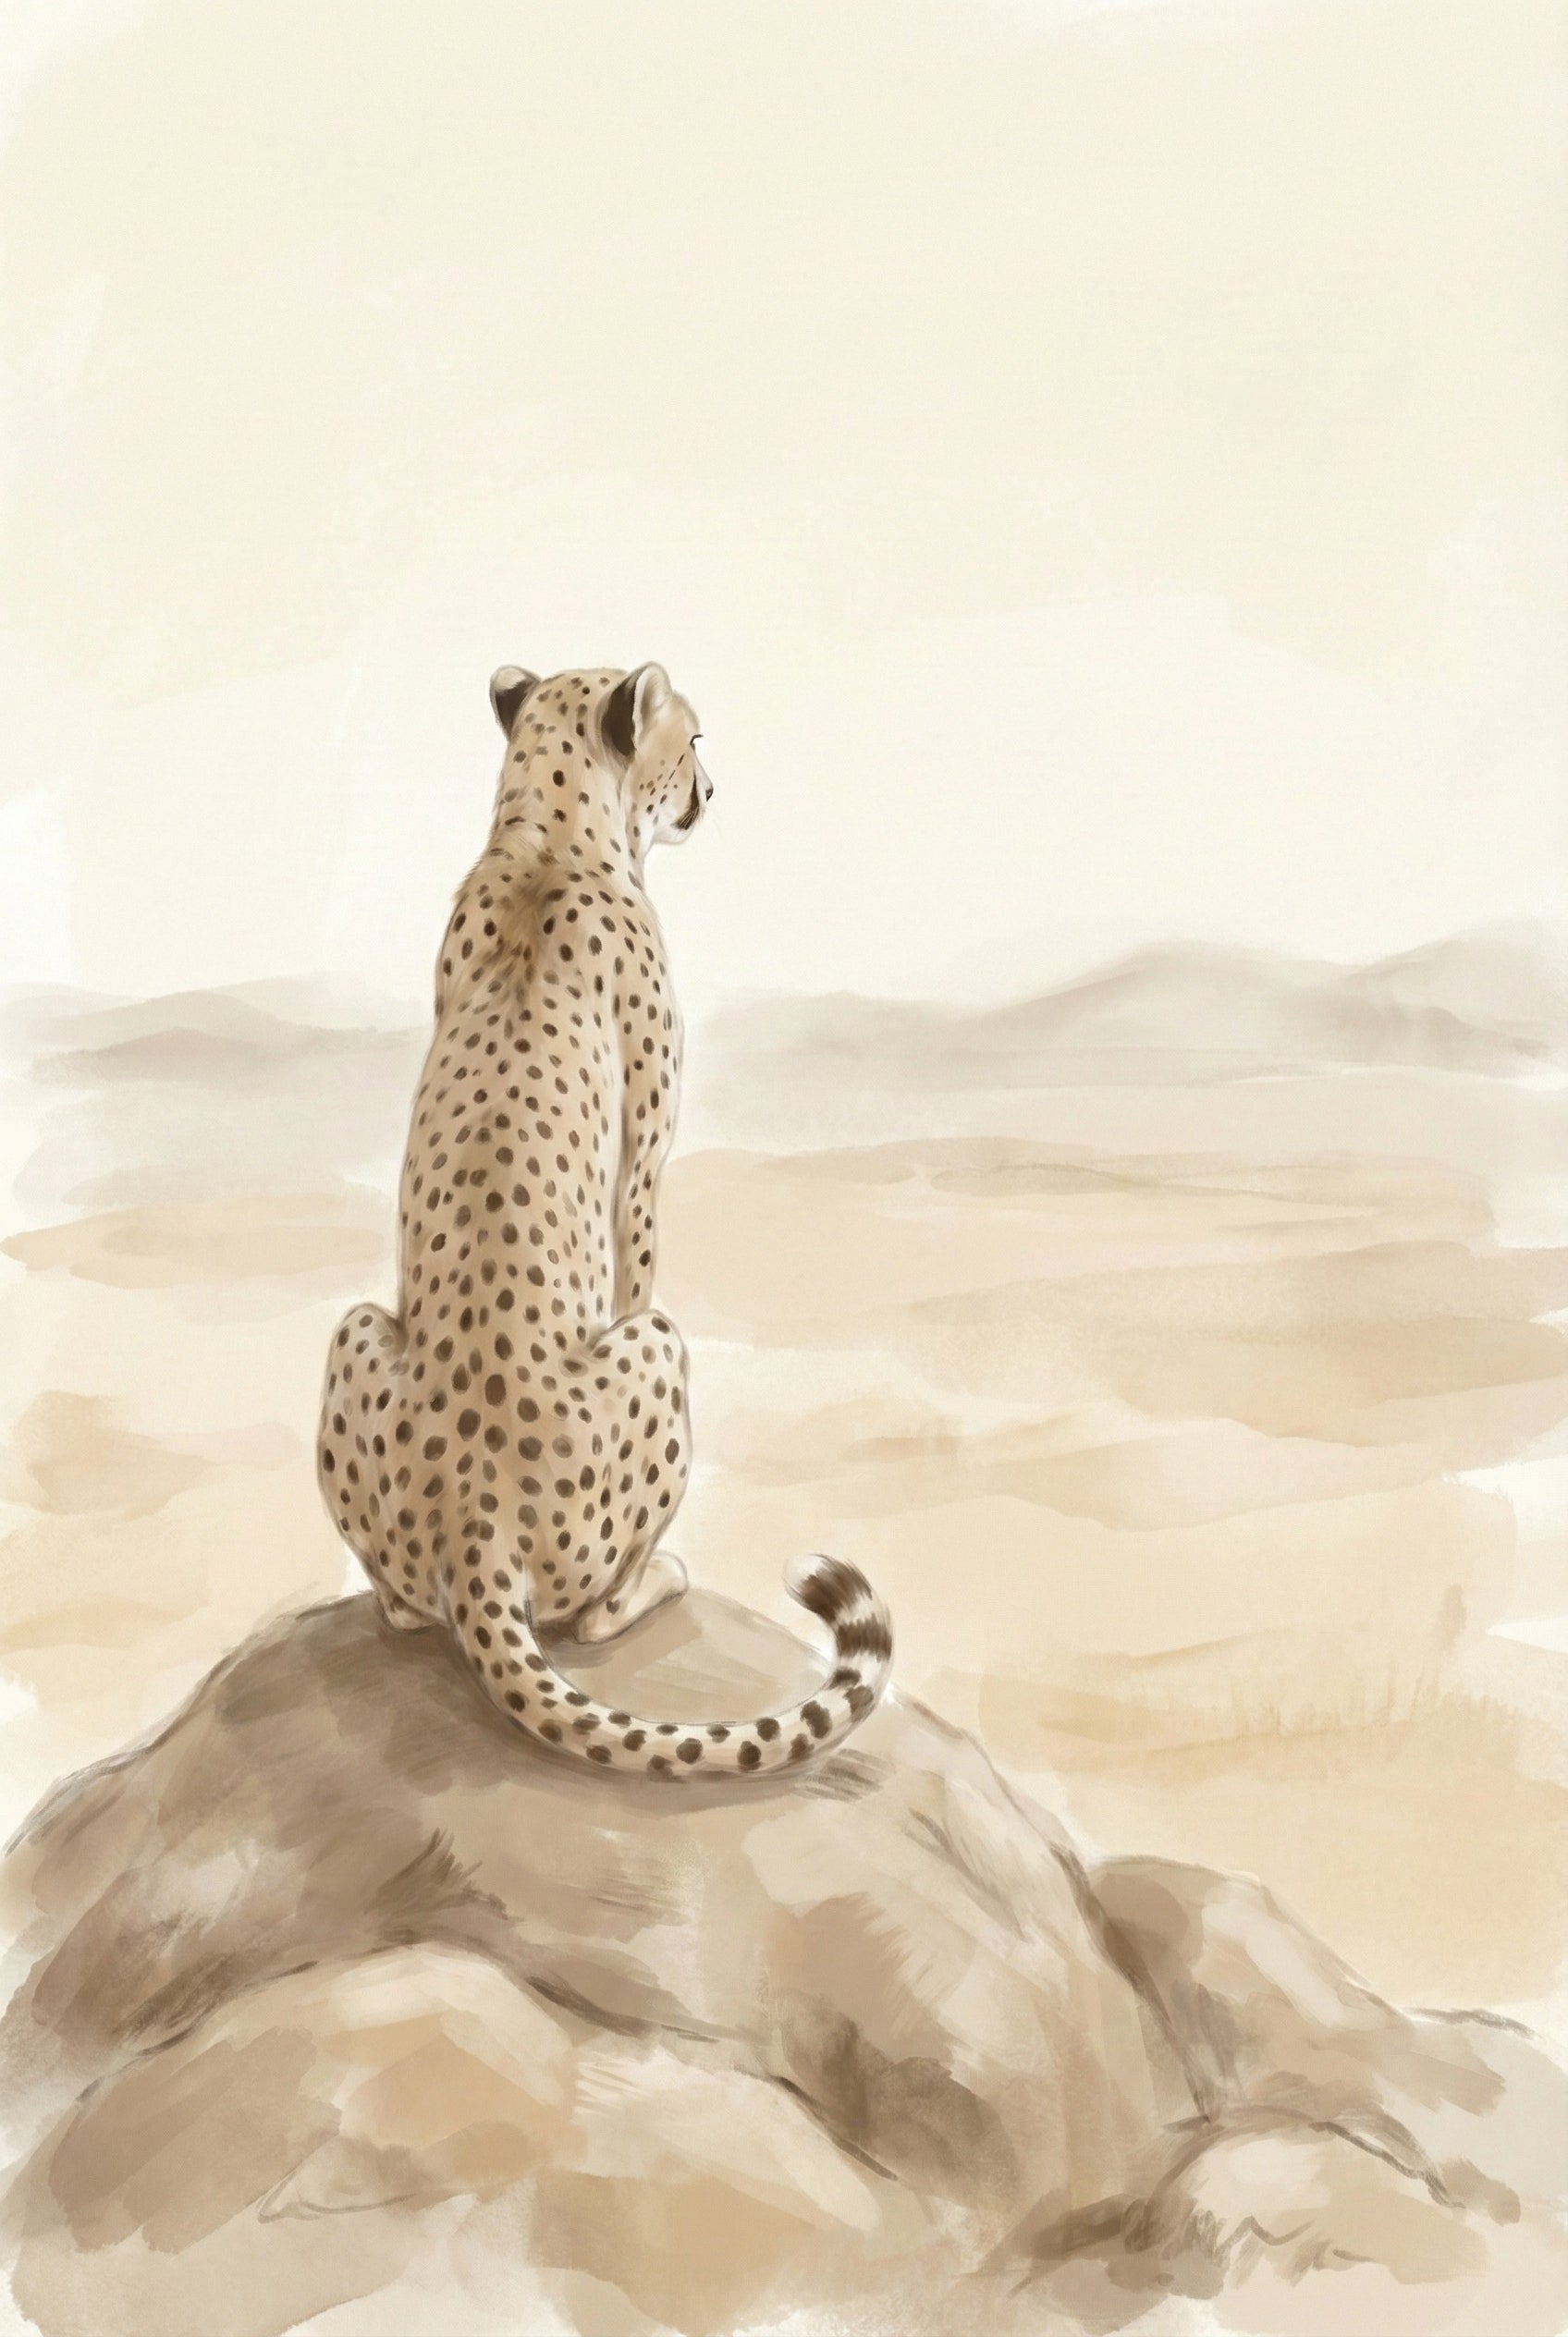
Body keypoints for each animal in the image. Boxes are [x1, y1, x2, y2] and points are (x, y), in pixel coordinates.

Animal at [317, 661, 893, 1778]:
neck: (545, 840)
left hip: (358, 1329)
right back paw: (658, 1576)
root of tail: (475, 1524)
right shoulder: (645, 1155)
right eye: (693, 738)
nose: (711, 790)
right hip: (658, 1352)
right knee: (582, 1615)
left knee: (407, 1607)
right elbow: (639, 1251)